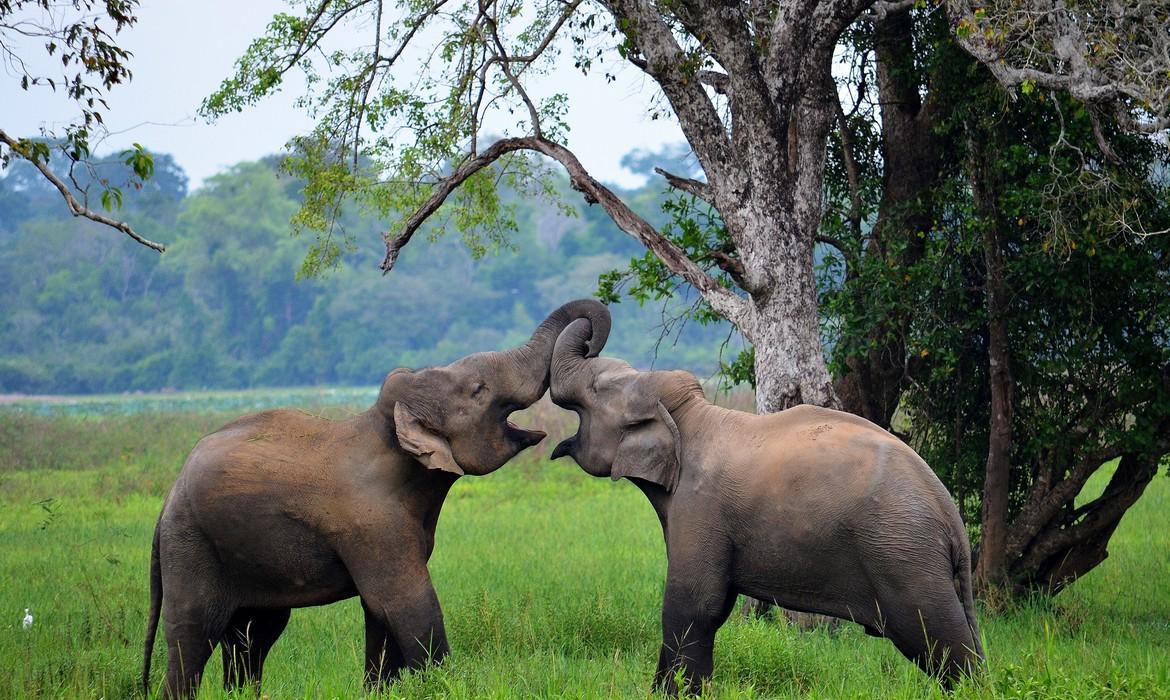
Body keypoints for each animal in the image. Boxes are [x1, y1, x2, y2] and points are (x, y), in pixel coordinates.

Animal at [141, 299, 610, 698]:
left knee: (253, 634)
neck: (388, 431)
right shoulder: (371, 524)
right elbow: (407, 604)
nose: (588, 343)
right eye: (478, 390)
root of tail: (166, 502)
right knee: (194, 634)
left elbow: (379, 612)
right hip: (192, 544)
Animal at [548, 318, 984, 695]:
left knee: (937, 636)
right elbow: (714, 606)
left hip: (903, 555)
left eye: (595, 388)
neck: (690, 416)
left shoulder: (700, 506)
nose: (591, 338)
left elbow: (694, 604)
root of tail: (950, 515)